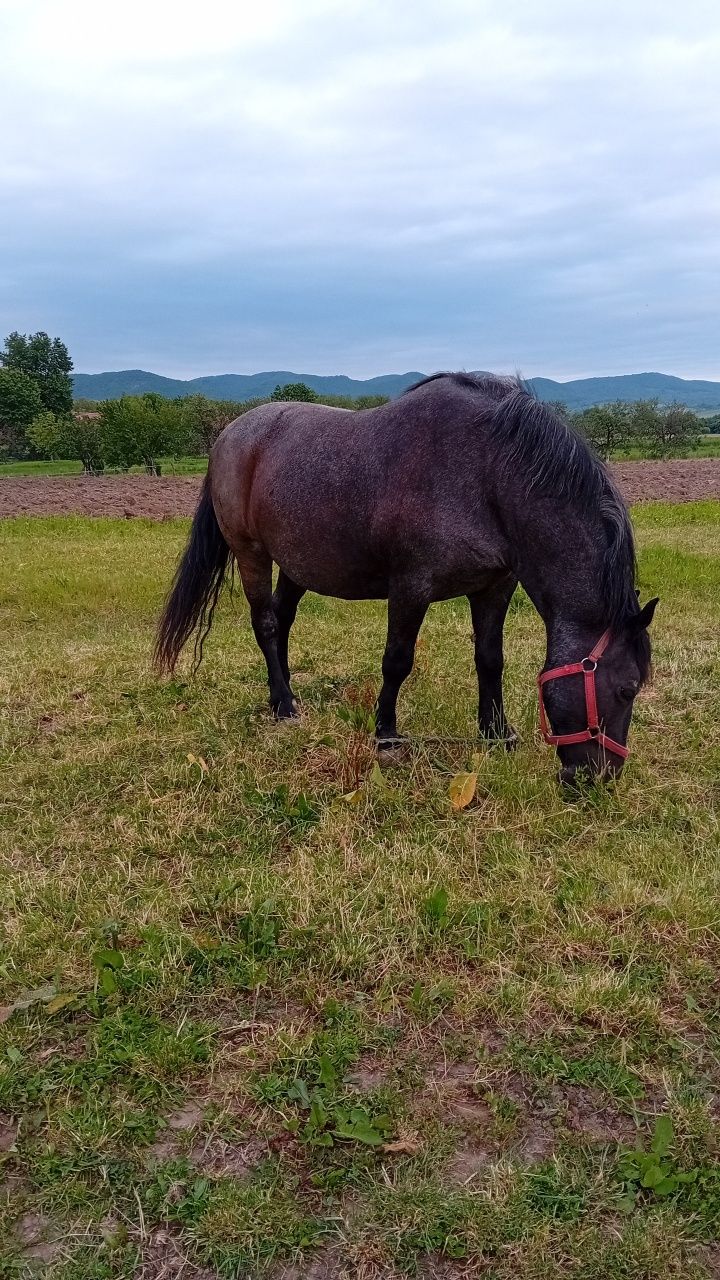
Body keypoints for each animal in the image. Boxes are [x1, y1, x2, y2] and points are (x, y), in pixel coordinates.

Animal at [154, 373, 653, 783]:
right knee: (266, 624)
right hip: (251, 554)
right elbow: (397, 660)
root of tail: (230, 434)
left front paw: (496, 733)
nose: (599, 779)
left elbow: (490, 660)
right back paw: (282, 704)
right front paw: (387, 735)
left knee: (283, 621)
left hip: (296, 564)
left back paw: (288, 694)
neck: (485, 473)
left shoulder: (494, 587)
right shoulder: (411, 588)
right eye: (627, 688)